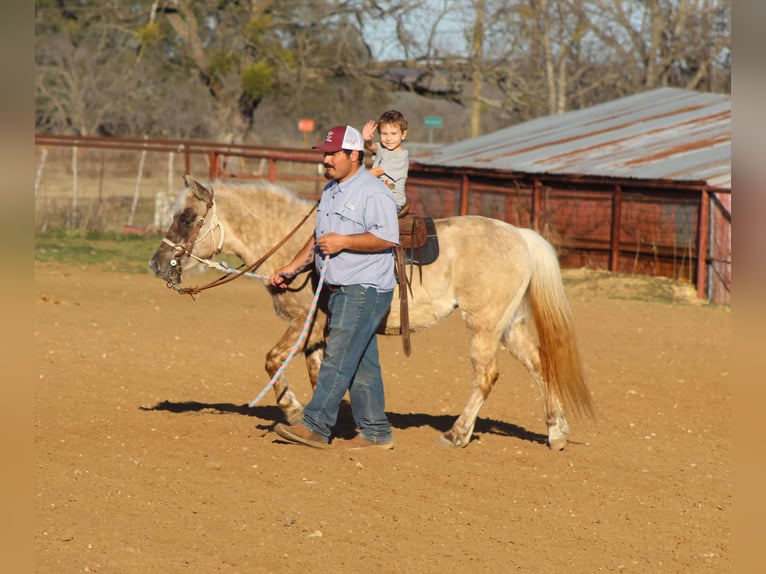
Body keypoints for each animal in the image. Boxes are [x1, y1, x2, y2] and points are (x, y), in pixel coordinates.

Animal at [149, 175, 595, 450]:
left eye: (186, 218)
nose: (156, 264)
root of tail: (520, 235)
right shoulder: (321, 334)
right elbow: (322, 374)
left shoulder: (304, 324)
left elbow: (273, 360)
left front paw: (293, 410)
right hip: (509, 325)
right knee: (540, 365)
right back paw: (555, 432)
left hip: (483, 326)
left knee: (487, 376)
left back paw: (457, 434)